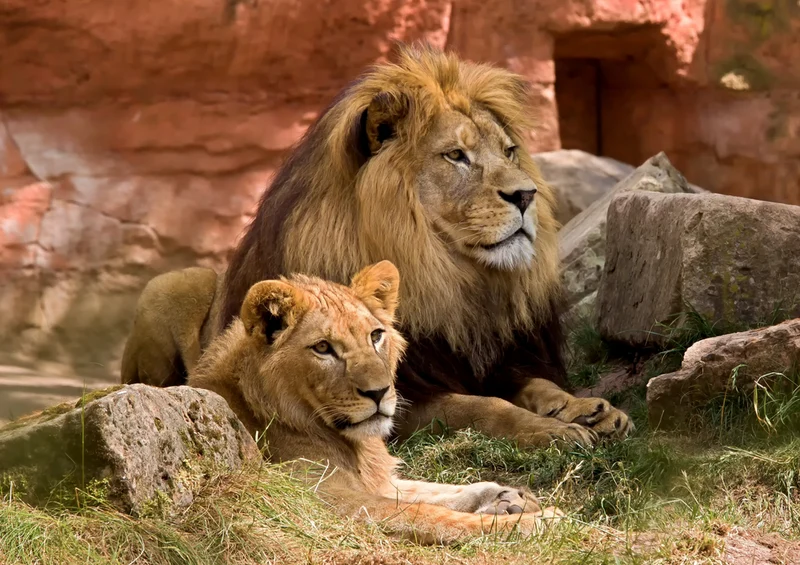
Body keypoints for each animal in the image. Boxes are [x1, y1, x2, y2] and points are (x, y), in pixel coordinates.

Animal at [188, 260, 562, 544]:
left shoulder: (376, 480)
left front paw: (506, 496)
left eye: (376, 335)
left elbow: (431, 490)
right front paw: (536, 522)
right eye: (323, 348)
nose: (380, 392)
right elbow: (425, 513)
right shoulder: (320, 501)